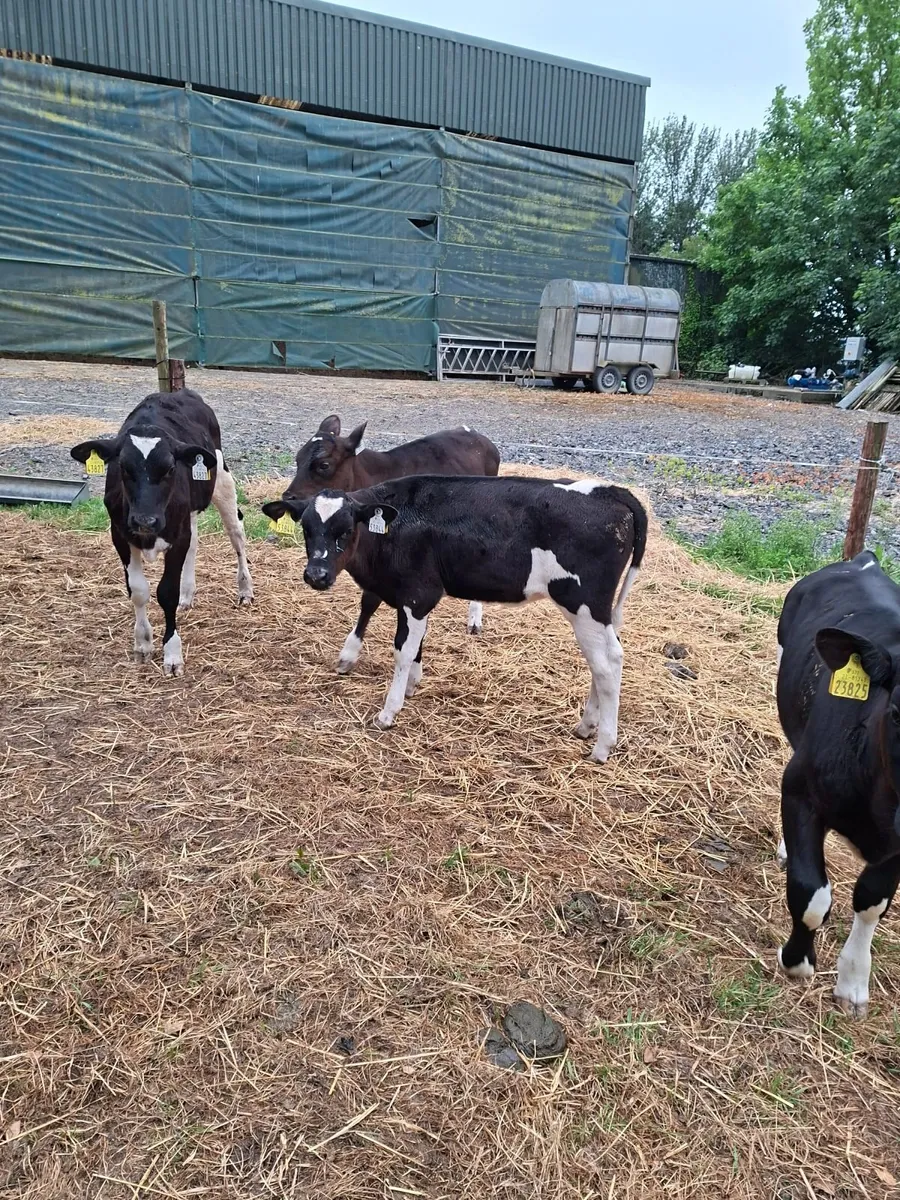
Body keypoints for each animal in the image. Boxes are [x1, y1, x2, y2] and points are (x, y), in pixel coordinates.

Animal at [71, 389, 253, 676]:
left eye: (169, 469)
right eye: (123, 467)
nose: (146, 520)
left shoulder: (177, 537)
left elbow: (166, 592)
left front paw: (172, 655)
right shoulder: (120, 536)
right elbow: (138, 590)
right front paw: (143, 643)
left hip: (222, 481)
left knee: (237, 535)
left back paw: (245, 589)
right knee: (195, 543)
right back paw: (188, 595)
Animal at [262, 474, 646, 763]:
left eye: (344, 529)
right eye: (306, 529)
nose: (317, 575)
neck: (393, 527)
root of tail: (611, 491)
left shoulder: (418, 593)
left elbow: (402, 650)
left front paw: (389, 712)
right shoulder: (412, 597)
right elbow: (416, 644)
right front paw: (412, 685)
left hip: (584, 603)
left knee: (608, 663)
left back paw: (602, 746)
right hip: (596, 611)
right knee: (603, 661)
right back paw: (587, 726)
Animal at [276, 414, 500, 673]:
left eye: (323, 465)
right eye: (298, 459)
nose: (288, 498)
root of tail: (475, 434)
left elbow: (374, 600)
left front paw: (350, 653)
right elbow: (368, 601)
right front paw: (349, 654)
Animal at [775, 549, 900, 1018]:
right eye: (897, 711)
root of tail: (865, 559)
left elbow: (872, 901)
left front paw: (853, 982)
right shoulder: (799, 790)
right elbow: (810, 892)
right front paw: (796, 960)